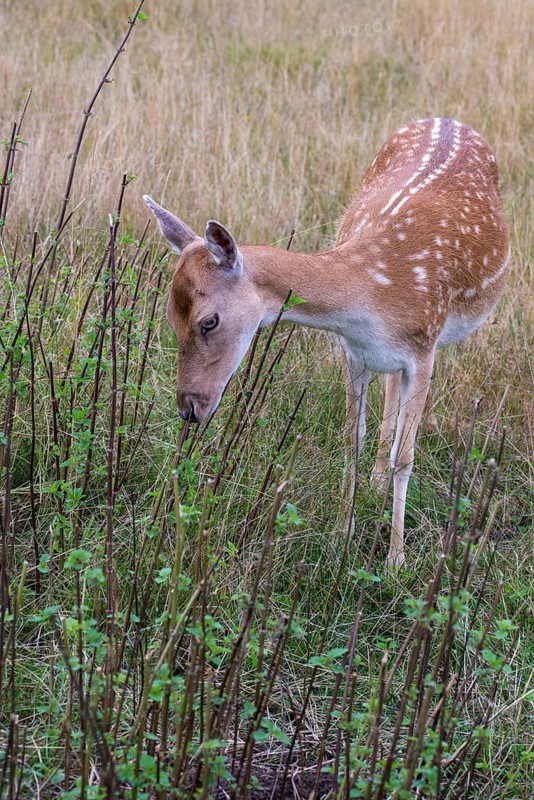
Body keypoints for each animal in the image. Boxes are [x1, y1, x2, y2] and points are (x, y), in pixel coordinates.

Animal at [144, 117, 510, 568]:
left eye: (208, 321)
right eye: (169, 317)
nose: (189, 410)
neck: (376, 293)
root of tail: (446, 118)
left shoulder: (425, 347)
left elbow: (405, 457)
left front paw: (395, 562)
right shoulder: (352, 351)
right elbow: (353, 439)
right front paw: (340, 536)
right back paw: (374, 484)